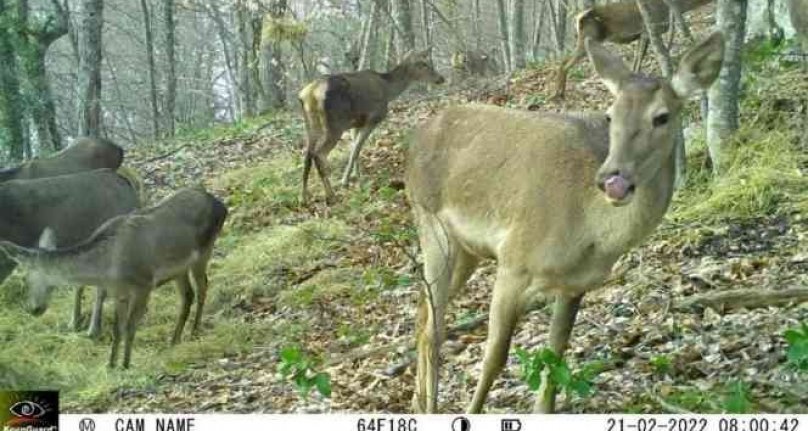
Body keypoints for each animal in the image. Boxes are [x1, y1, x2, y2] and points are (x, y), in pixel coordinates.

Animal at [0, 187, 227, 370]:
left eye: (25, 278)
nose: (33, 308)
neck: (107, 269)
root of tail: (221, 205)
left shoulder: (144, 284)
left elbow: (130, 327)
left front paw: (125, 365)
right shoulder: (119, 292)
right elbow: (118, 329)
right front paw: (110, 364)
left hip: (205, 250)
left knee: (203, 287)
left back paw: (194, 331)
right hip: (179, 269)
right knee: (187, 295)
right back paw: (174, 339)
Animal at [298, 49, 446, 206]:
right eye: (423, 64)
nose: (440, 78)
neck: (388, 90)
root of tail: (308, 94)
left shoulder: (356, 123)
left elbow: (354, 149)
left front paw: (356, 176)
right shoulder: (373, 118)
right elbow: (356, 149)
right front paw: (346, 180)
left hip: (311, 124)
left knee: (308, 155)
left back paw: (303, 197)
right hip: (335, 124)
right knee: (319, 154)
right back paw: (331, 195)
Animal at [408, 32, 724, 414]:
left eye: (662, 117)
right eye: (610, 114)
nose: (613, 180)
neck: (588, 235)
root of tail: (416, 135)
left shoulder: (575, 285)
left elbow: (555, 358)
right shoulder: (513, 262)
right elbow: (494, 358)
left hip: (466, 249)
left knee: (421, 313)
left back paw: (418, 403)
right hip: (429, 222)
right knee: (433, 327)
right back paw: (429, 405)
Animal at [552, 0, 716, 99]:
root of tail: (578, 19)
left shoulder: (645, 34)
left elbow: (638, 57)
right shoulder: (648, 30)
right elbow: (641, 56)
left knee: (564, 61)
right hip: (589, 37)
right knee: (564, 63)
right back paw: (558, 93)